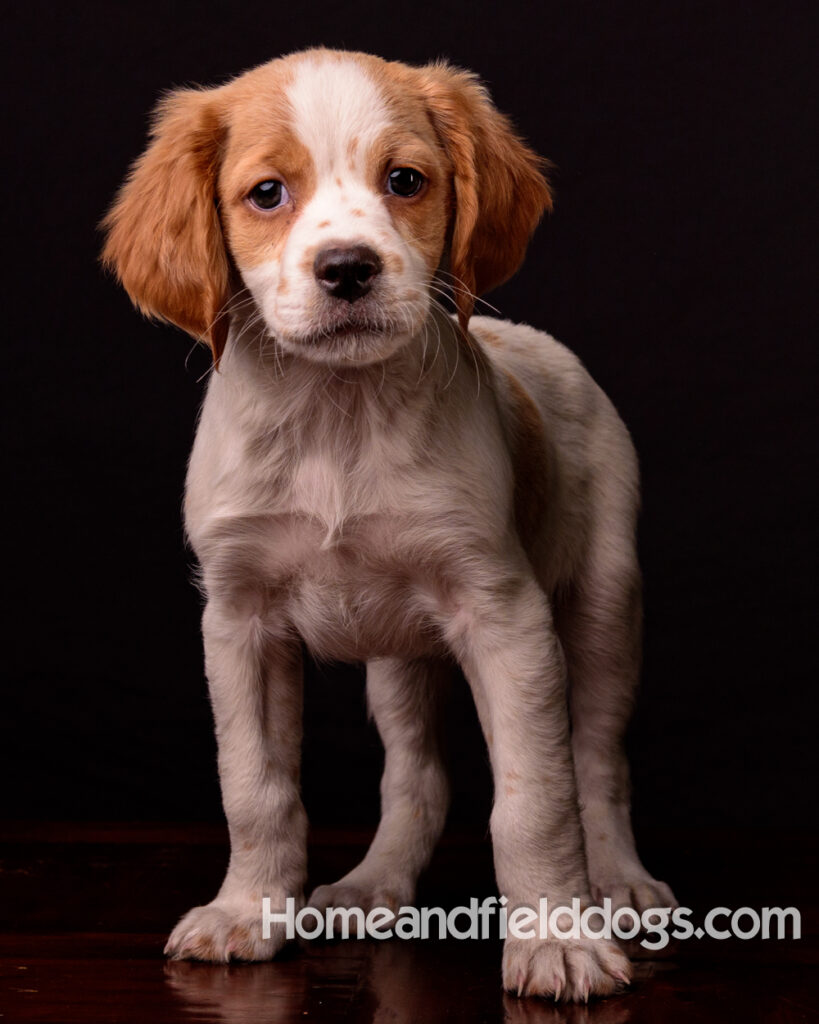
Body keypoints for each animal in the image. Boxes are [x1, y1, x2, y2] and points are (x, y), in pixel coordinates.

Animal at [102, 46, 675, 999]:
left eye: (405, 181)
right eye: (266, 194)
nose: (347, 268)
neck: (336, 413)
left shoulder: (505, 615)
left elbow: (535, 798)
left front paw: (556, 940)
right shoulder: (239, 618)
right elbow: (255, 786)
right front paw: (247, 912)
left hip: (603, 608)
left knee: (599, 760)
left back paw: (620, 881)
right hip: (398, 661)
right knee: (418, 775)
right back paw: (373, 885)